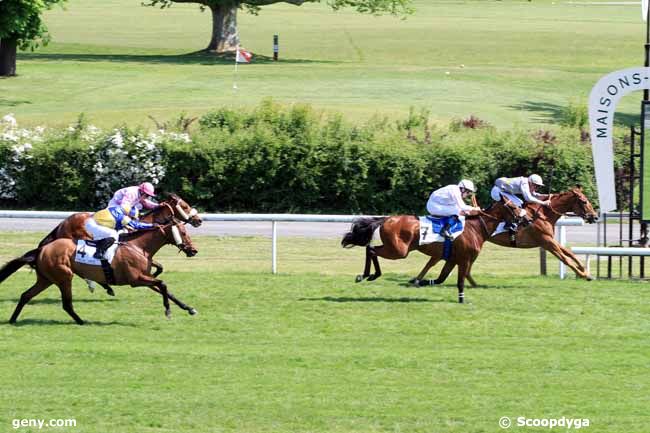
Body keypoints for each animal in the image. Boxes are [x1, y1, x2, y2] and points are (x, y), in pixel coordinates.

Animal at [0, 219, 197, 324]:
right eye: (183, 232)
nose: (194, 250)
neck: (138, 246)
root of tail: (42, 249)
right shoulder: (136, 279)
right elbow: (162, 284)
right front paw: (168, 311)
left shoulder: (143, 278)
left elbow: (165, 289)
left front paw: (189, 308)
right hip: (64, 277)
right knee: (66, 304)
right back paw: (81, 321)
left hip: (45, 279)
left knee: (26, 295)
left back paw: (12, 320)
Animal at [340, 200, 528, 304]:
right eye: (514, 206)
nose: (526, 219)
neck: (475, 228)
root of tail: (386, 219)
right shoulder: (464, 260)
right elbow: (460, 281)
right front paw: (462, 299)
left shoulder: (451, 259)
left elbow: (440, 279)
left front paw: (418, 281)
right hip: (399, 251)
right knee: (371, 249)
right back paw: (369, 275)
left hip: (396, 249)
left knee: (369, 249)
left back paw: (367, 275)